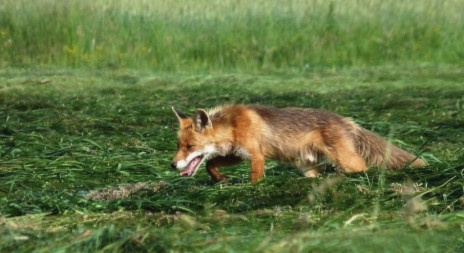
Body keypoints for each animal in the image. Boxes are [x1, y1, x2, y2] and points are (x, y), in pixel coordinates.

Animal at [169, 104, 424, 183]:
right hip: (307, 167)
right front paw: (220, 179)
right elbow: (211, 164)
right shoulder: (237, 153)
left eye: (190, 147)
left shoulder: (256, 155)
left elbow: (255, 179)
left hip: (347, 162)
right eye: (178, 146)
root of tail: (346, 120)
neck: (232, 125)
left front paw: (251, 189)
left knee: (362, 168)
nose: (172, 165)